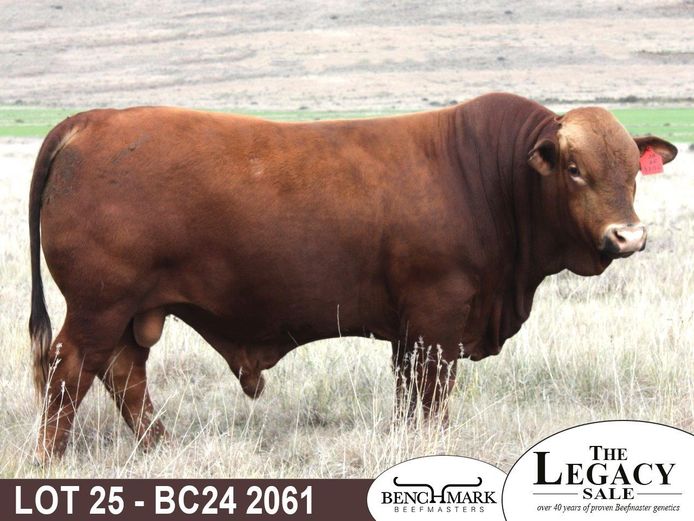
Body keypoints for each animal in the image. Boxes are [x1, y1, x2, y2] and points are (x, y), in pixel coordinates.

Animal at [29, 93, 677, 462]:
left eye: (632, 171)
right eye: (574, 169)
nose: (628, 237)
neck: (489, 176)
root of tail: (92, 121)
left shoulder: (411, 331)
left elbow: (410, 393)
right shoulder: (438, 315)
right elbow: (432, 394)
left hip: (130, 311)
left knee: (123, 374)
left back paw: (161, 448)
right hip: (99, 306)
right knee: (71, 371)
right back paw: (51, 459)